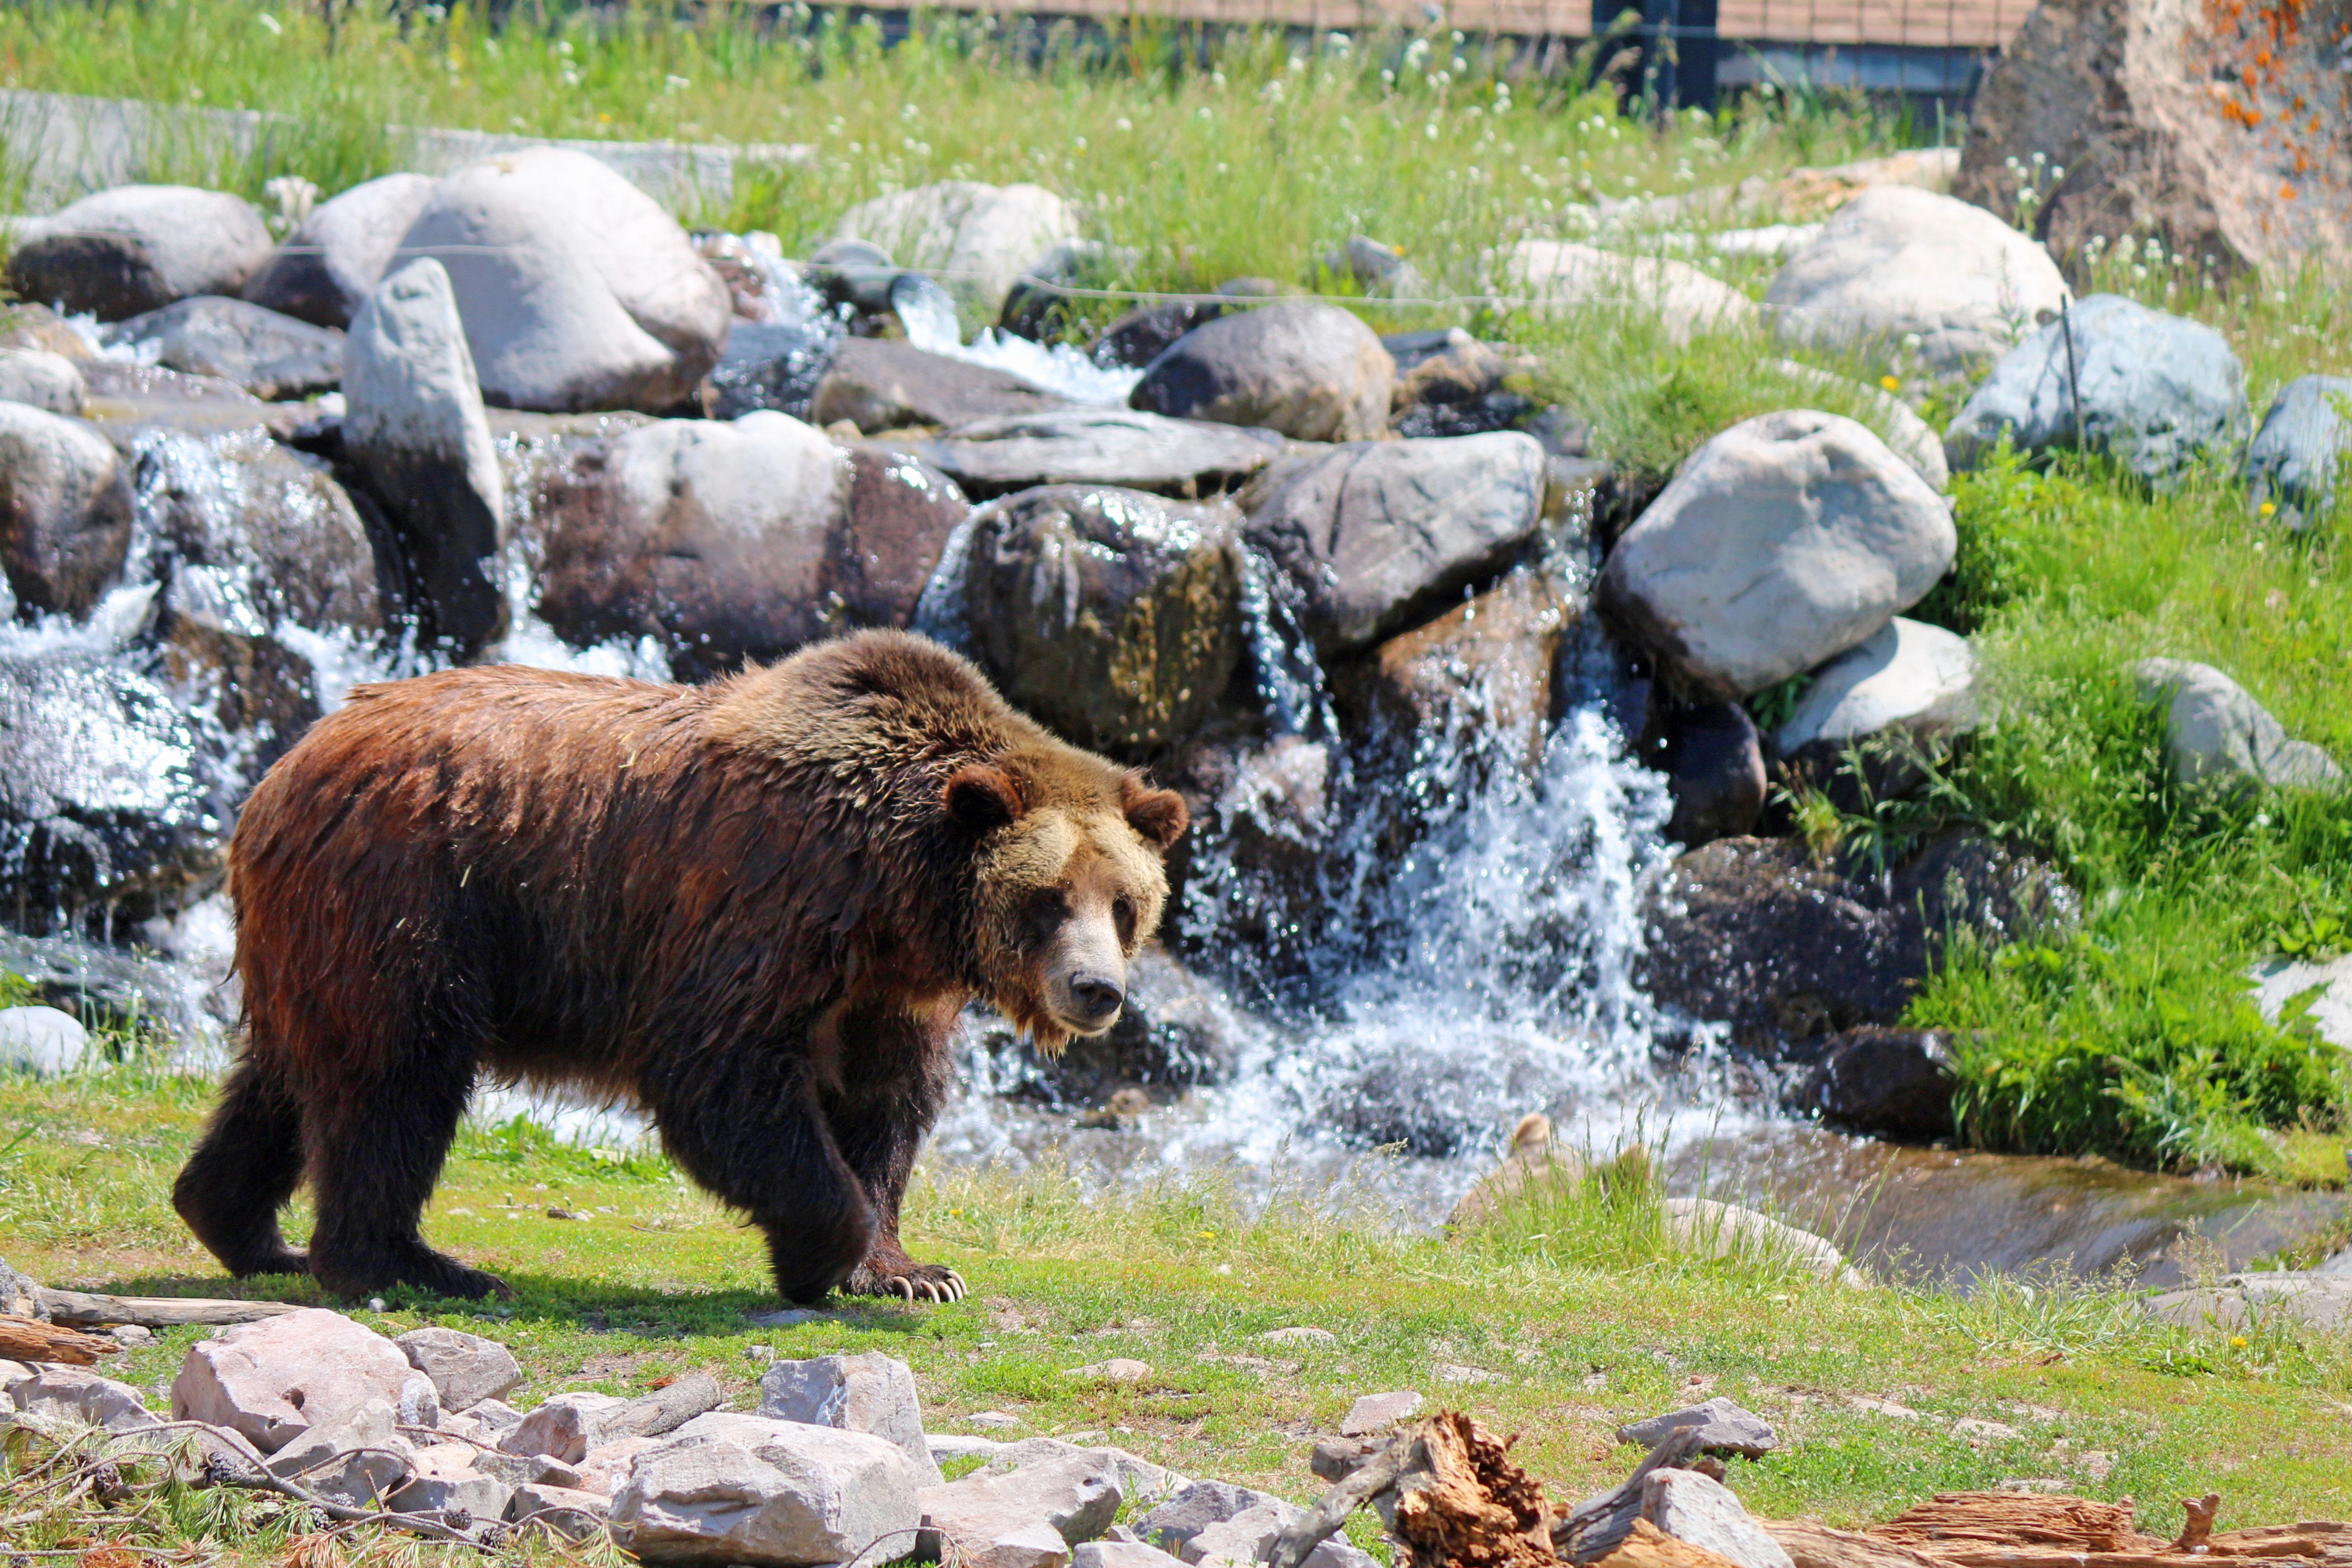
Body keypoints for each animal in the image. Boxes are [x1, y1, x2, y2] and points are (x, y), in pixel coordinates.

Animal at [172, 630, 1185, 1307]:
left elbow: (884, 1106)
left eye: (1124, 903)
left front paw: (908, 1272)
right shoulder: (764, 909)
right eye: (1048, 898)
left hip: (319, 934)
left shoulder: (882, 991)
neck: (895, 895)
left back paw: (245, 1228)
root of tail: (282, 768)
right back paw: (412, 1265)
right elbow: (720, 1076)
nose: (1097, 990)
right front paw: (822, 1254)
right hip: (414, 897)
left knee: (291, 1075)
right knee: (396, 1079)